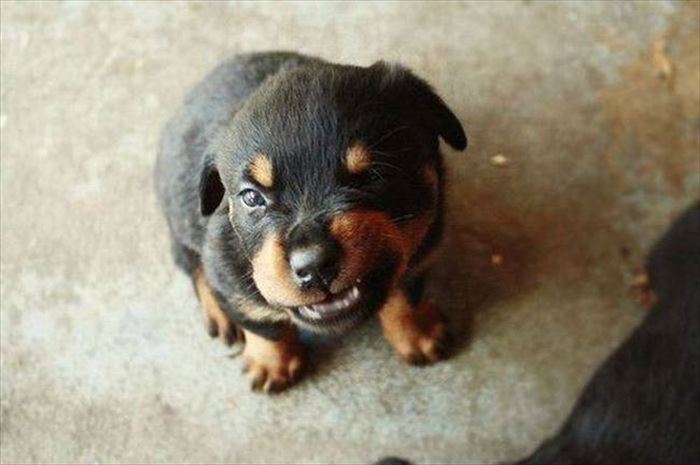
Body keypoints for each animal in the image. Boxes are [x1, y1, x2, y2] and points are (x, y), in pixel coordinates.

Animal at [156, 51, 468, 392]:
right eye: (252, 197)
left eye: (375, 175)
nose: (314, 265)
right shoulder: (225, 268)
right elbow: (262, 322)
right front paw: (270, 363)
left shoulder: (425, 243)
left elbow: (405, 293)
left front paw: (417, 332)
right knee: (192, 264)